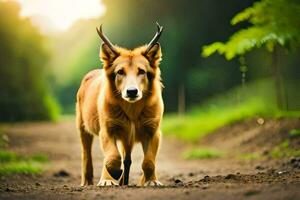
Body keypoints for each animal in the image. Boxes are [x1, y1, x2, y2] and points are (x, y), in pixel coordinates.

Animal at [75, 22, 164, 187]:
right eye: (120, 72)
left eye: (142, 71)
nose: (132, 92)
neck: (132, 110)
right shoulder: (107, 129)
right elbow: (112, 157)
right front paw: (111, 176)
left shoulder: (153, 130)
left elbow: (149, 161)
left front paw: (151, 180)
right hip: (82, 126)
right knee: (87, 154)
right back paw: (90, 181)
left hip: (127, 137)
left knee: (127, 158)